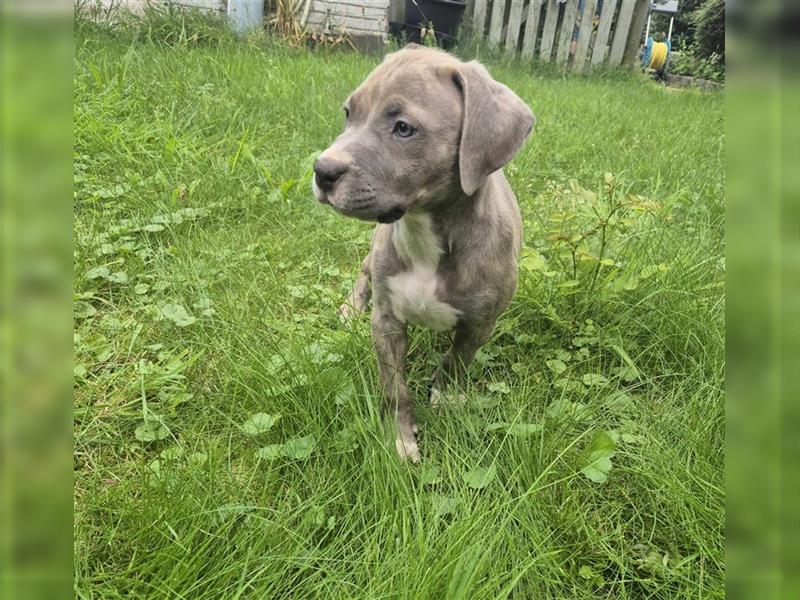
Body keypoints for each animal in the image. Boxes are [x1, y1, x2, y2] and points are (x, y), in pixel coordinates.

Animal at [310, 44, 532, 462]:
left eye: (403, 128)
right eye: (348, 113)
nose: (322, 170)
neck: (424, 232)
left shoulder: (481, 322)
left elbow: (457, 361)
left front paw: (446, 397)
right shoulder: (386, 320)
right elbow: (395, 388)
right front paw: (400, 440)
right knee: (363, 271)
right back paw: (350, 309)